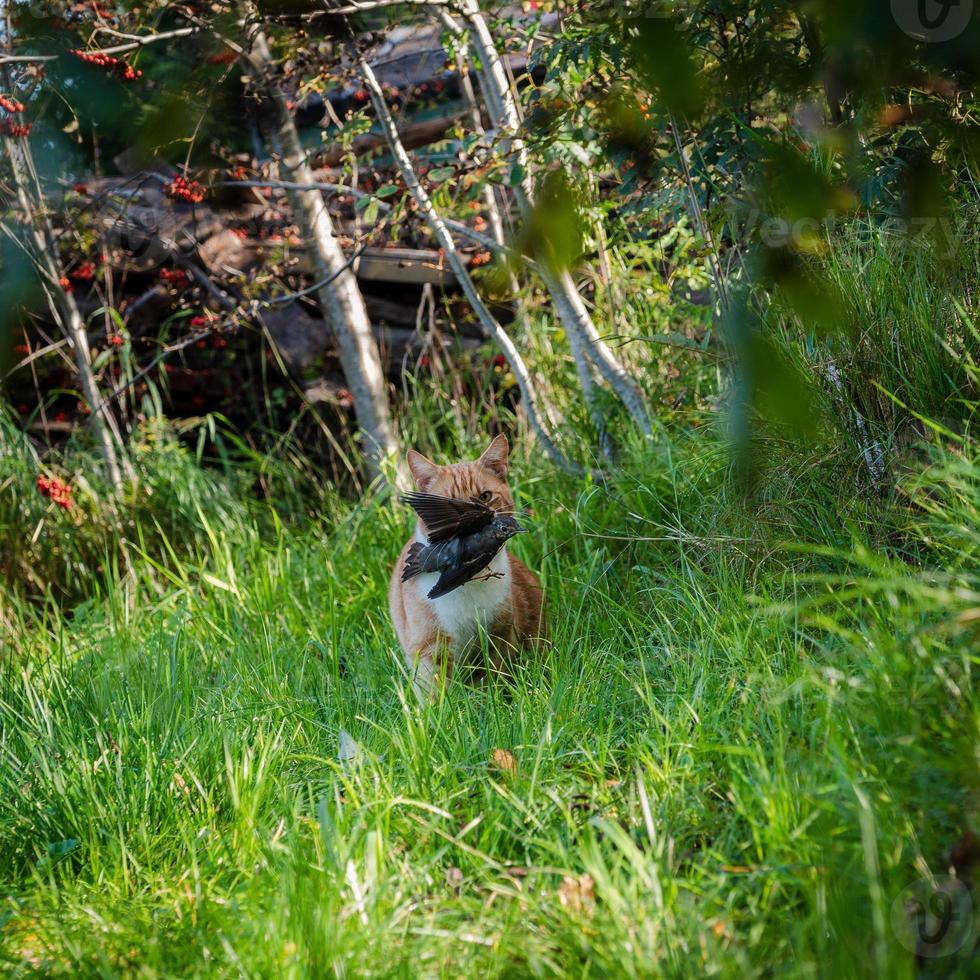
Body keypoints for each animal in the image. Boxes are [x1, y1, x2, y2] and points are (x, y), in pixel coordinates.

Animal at [388, 436, 544, 688]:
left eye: (485, 496)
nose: (471, 519)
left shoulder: (498, 636)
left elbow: (492, 680)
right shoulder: (430, 648)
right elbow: (439, 692)